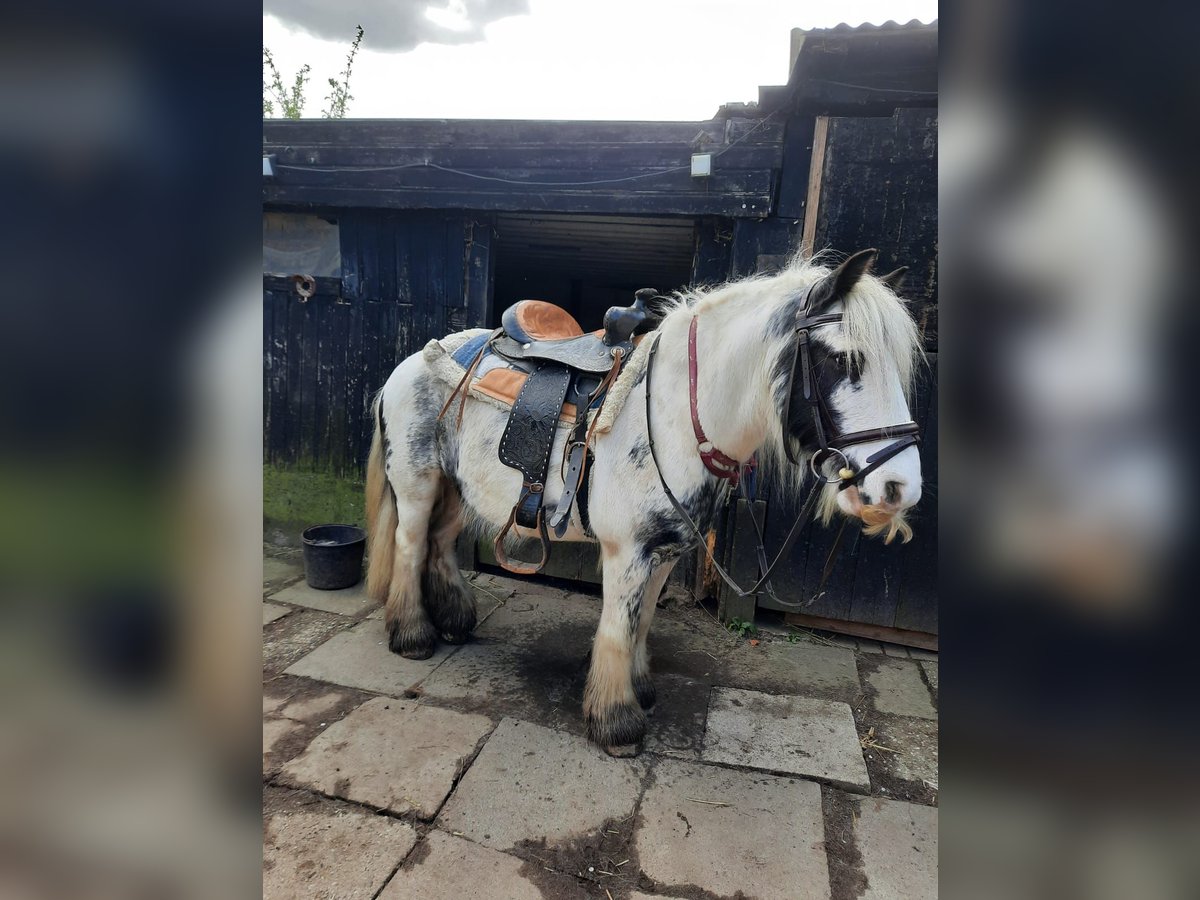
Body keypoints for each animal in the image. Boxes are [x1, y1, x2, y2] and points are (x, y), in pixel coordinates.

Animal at [360, 250, 921, 758]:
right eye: (846, 360)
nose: (901, 488)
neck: (673, 418)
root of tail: (409, 362)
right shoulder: (627, 552)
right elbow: (617, 626)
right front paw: (616, 722)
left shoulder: (664, 551)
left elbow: (643, 620)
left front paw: (641, 690)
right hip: (417, 484)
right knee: (410, 545)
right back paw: (412, 636)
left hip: (457, 487)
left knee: (438, 544)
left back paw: (454, 622)